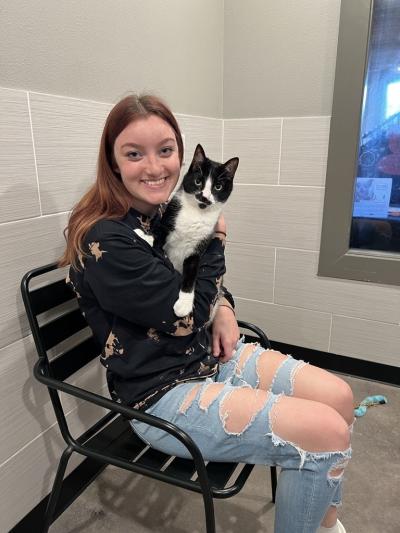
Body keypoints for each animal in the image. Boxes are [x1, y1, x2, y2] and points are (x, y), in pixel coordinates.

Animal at [136, 143, 239, 316]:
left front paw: (184, 304)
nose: (204, 197)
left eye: (218, 187)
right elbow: (159, 232)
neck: (196, 212)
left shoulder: (200, 243)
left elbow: (191, 271)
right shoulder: (171, 216)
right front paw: (144, 236)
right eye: (198, 181)